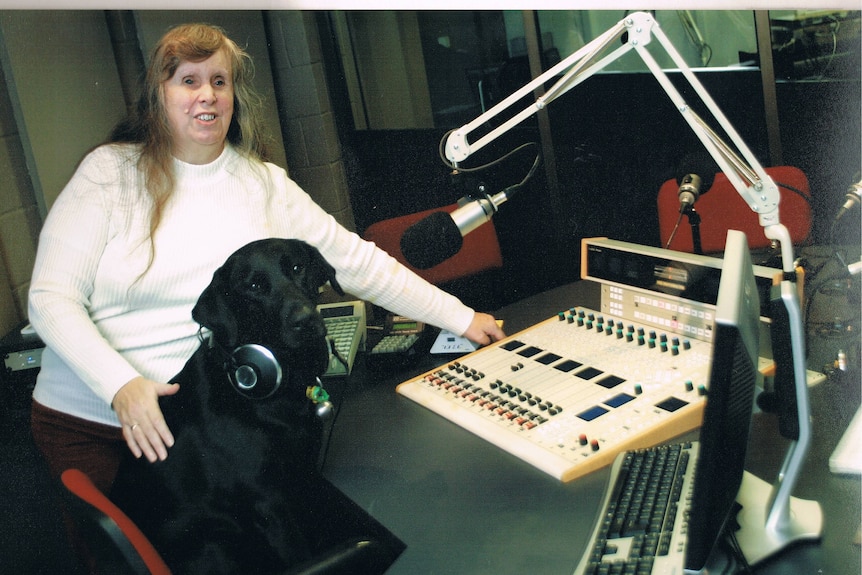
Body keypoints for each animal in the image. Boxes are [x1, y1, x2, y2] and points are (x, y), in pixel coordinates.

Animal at [111, 240, 402, 575]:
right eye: (253, 286)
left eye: (297, 268)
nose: (306, 320)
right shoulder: (269, 504)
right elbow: (297, 550)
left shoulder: (304, 476)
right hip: (215, 544)